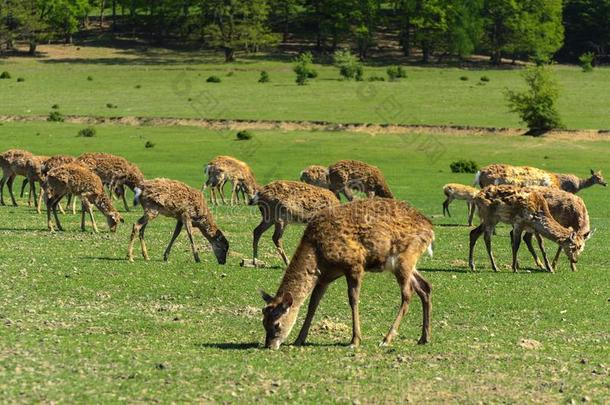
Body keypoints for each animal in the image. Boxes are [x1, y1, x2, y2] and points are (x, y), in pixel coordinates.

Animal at [258, 197, 432, 348]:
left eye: (277, 324)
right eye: (263, 321)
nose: (269, 345)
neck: (318, 253)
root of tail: (431, 230)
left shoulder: (354, 264)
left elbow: (353, 300)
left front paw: (355, 340)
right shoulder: (324, 278)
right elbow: (313, 304)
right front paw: (299, 339)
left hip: (405, 258)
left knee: (408, 294)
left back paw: (386, 339)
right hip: (404, 263)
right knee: (425, 287)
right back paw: (424, 337)